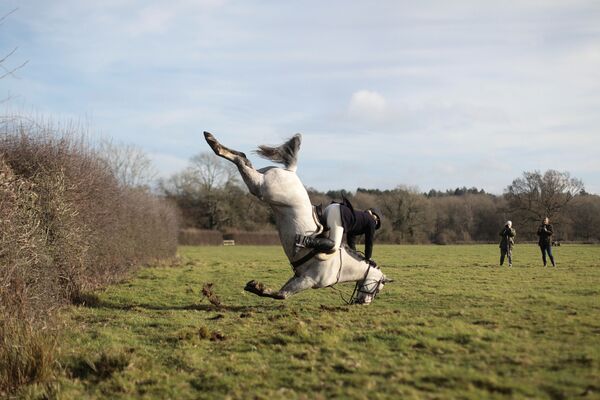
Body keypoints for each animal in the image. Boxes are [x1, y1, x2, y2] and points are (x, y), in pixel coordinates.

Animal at [204, 131, 392, 304]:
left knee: (244, 158)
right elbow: (281, 295)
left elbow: (282, 293)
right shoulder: (308, 280)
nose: (363, 302)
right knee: (241, 161)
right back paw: (213, 142)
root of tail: (291, 171)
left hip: (262, 181)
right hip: (261, 188)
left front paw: (256, 287)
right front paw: (257, 287)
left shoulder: (299, 276)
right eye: (379, 287)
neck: (342, 266)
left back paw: (213, 140)